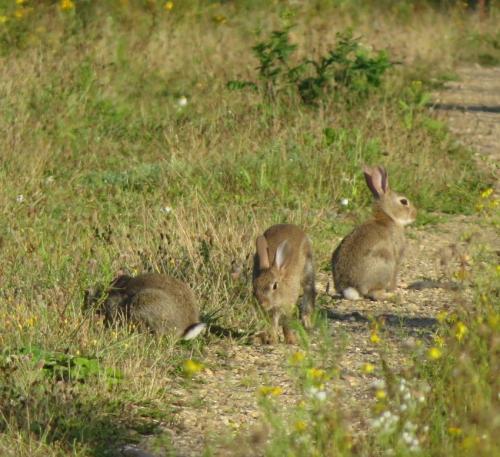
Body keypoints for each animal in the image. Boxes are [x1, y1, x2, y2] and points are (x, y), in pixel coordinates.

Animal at [332, 166, 418, 302]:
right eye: (404, 202)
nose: (415, 214)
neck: (390, 217)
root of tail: (351, 288)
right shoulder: (397, 257)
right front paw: (394, 289)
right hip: (385, 263)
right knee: (374, 294)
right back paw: (391, 295)